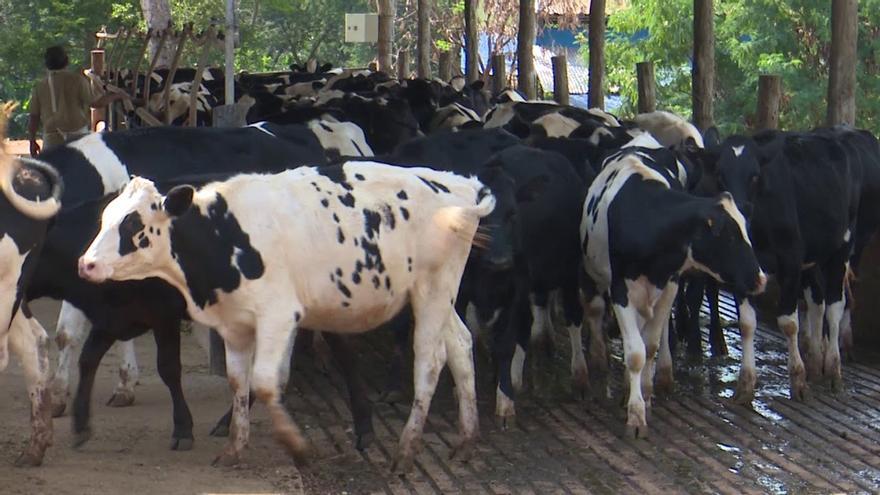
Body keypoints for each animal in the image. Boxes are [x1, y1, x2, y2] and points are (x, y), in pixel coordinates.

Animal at [580, 145, 768, 436]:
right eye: (727, 237)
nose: (760, 279)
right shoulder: (620, 290)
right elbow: (635, 353)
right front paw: (636, 416)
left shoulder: (669, 285)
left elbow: (650, 346)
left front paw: (644, 396)